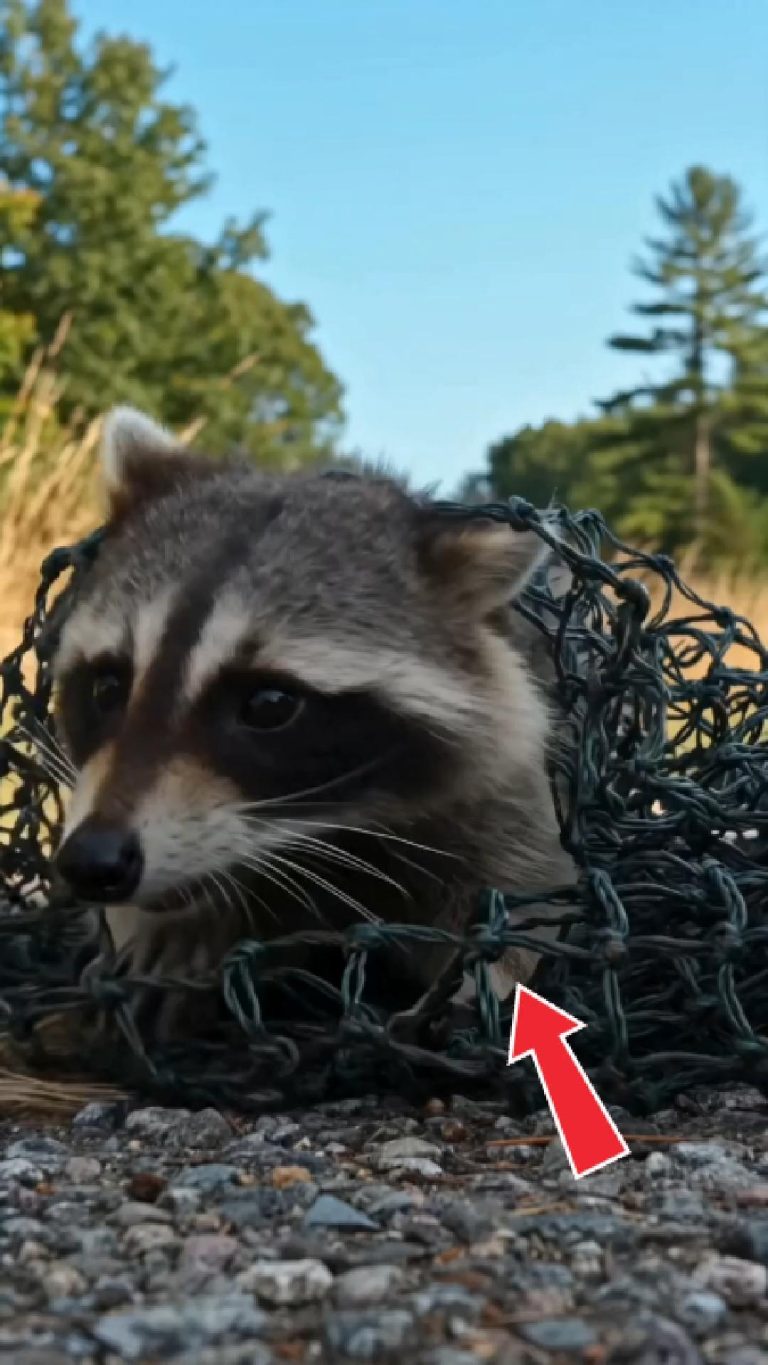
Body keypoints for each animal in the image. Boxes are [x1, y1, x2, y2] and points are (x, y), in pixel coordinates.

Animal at [51, 407, 575, 1038]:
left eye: (270, 705)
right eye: (107, 686)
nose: (92, 861)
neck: (320, 832)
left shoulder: (507, 787)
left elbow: (526, 884)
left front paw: (491, 973)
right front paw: (177, 927)